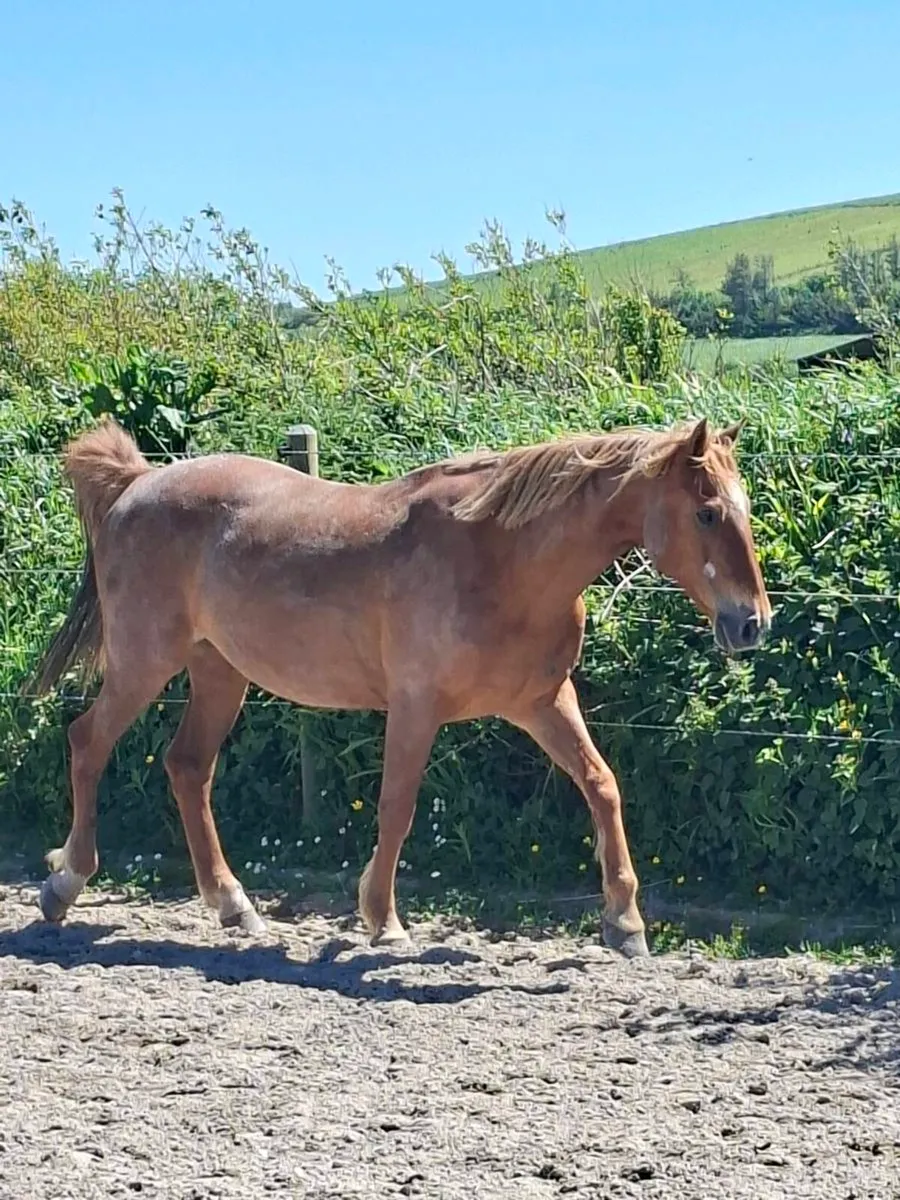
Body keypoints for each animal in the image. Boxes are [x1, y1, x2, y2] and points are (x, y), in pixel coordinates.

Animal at [27, 415, 771, 958]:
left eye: (745, 508)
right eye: (707, 513)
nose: (751, 623)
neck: (502, 559)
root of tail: (135, 484)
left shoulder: (541, 702)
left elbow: (602, 785)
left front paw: (625, 923)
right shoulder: (416, 707)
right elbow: (397, 806)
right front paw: (382, 919)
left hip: (219, 672)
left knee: (186, 767)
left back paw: (235, 907)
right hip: (143, 662)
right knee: (88, 742)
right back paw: (64, 884)